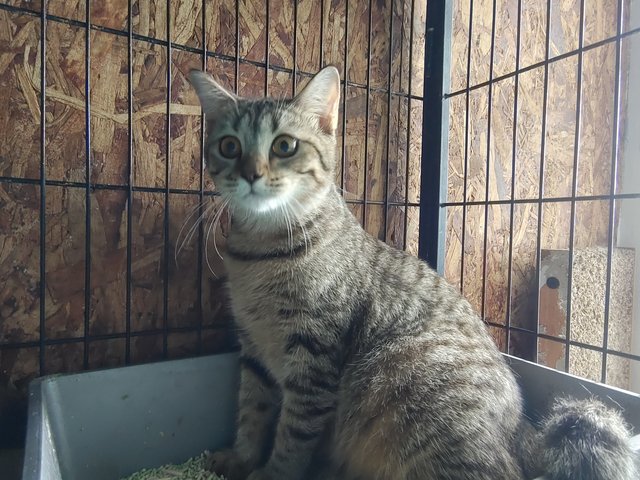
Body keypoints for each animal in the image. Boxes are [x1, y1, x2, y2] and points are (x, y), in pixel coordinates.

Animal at [188, 67, 636, 480]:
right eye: (229, 146)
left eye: (284, 145)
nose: (250, 173)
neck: (262, 252)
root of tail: (522, 431)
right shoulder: (253, 350)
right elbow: (253, 411)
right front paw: (241, 458)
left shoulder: (314, 356)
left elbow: (294, 435)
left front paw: (273, 473)